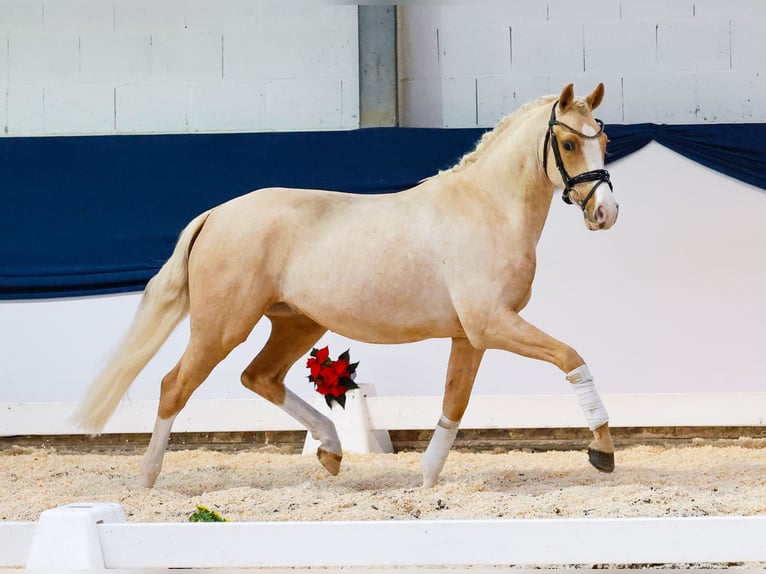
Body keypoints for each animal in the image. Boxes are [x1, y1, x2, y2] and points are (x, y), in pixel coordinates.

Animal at [75, 84, 620, 490]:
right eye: (569, 144)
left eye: (606, 142)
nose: (605, 213)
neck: (487, 208)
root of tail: (215, 214)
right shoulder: (492, 325)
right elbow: (572, 359)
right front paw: (601, 452)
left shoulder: (470, 335)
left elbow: (454, 404)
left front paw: (425, 479)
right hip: (222, 326)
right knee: (176, 385)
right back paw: (147, 480)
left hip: (296, 324)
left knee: (259, 377)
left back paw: (332, 451)